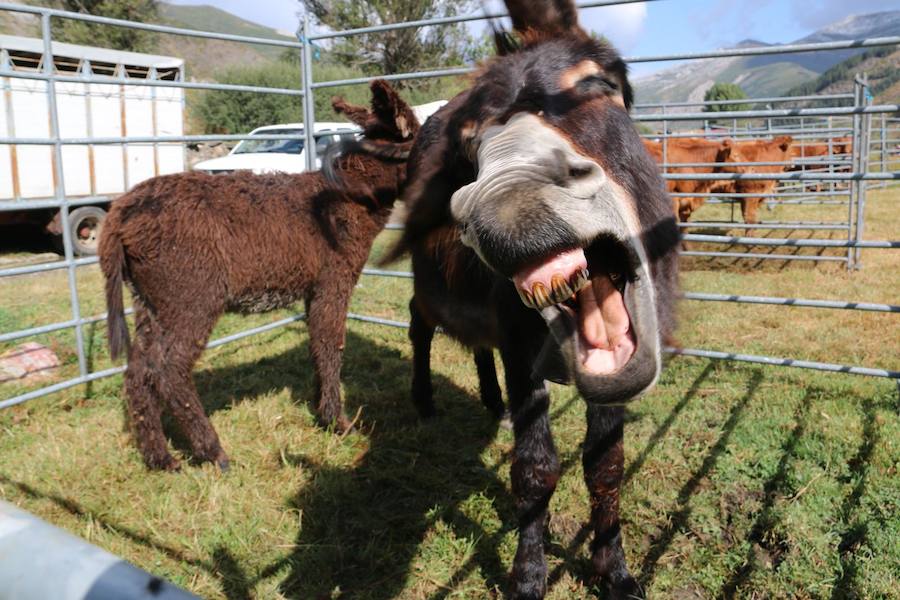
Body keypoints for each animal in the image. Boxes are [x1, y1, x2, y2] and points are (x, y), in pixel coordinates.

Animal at [101, 81, 418, 474]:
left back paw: (161, 459)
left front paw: (320, 410)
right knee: (169, 370)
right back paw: (213, 452)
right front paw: (337, 423)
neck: (351, 197)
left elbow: (317, 344)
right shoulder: (334, 279)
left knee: (138, 373)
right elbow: (332, 343)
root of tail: (119, 215)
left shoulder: (313, 288)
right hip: (192, 298)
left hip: (150, 302)